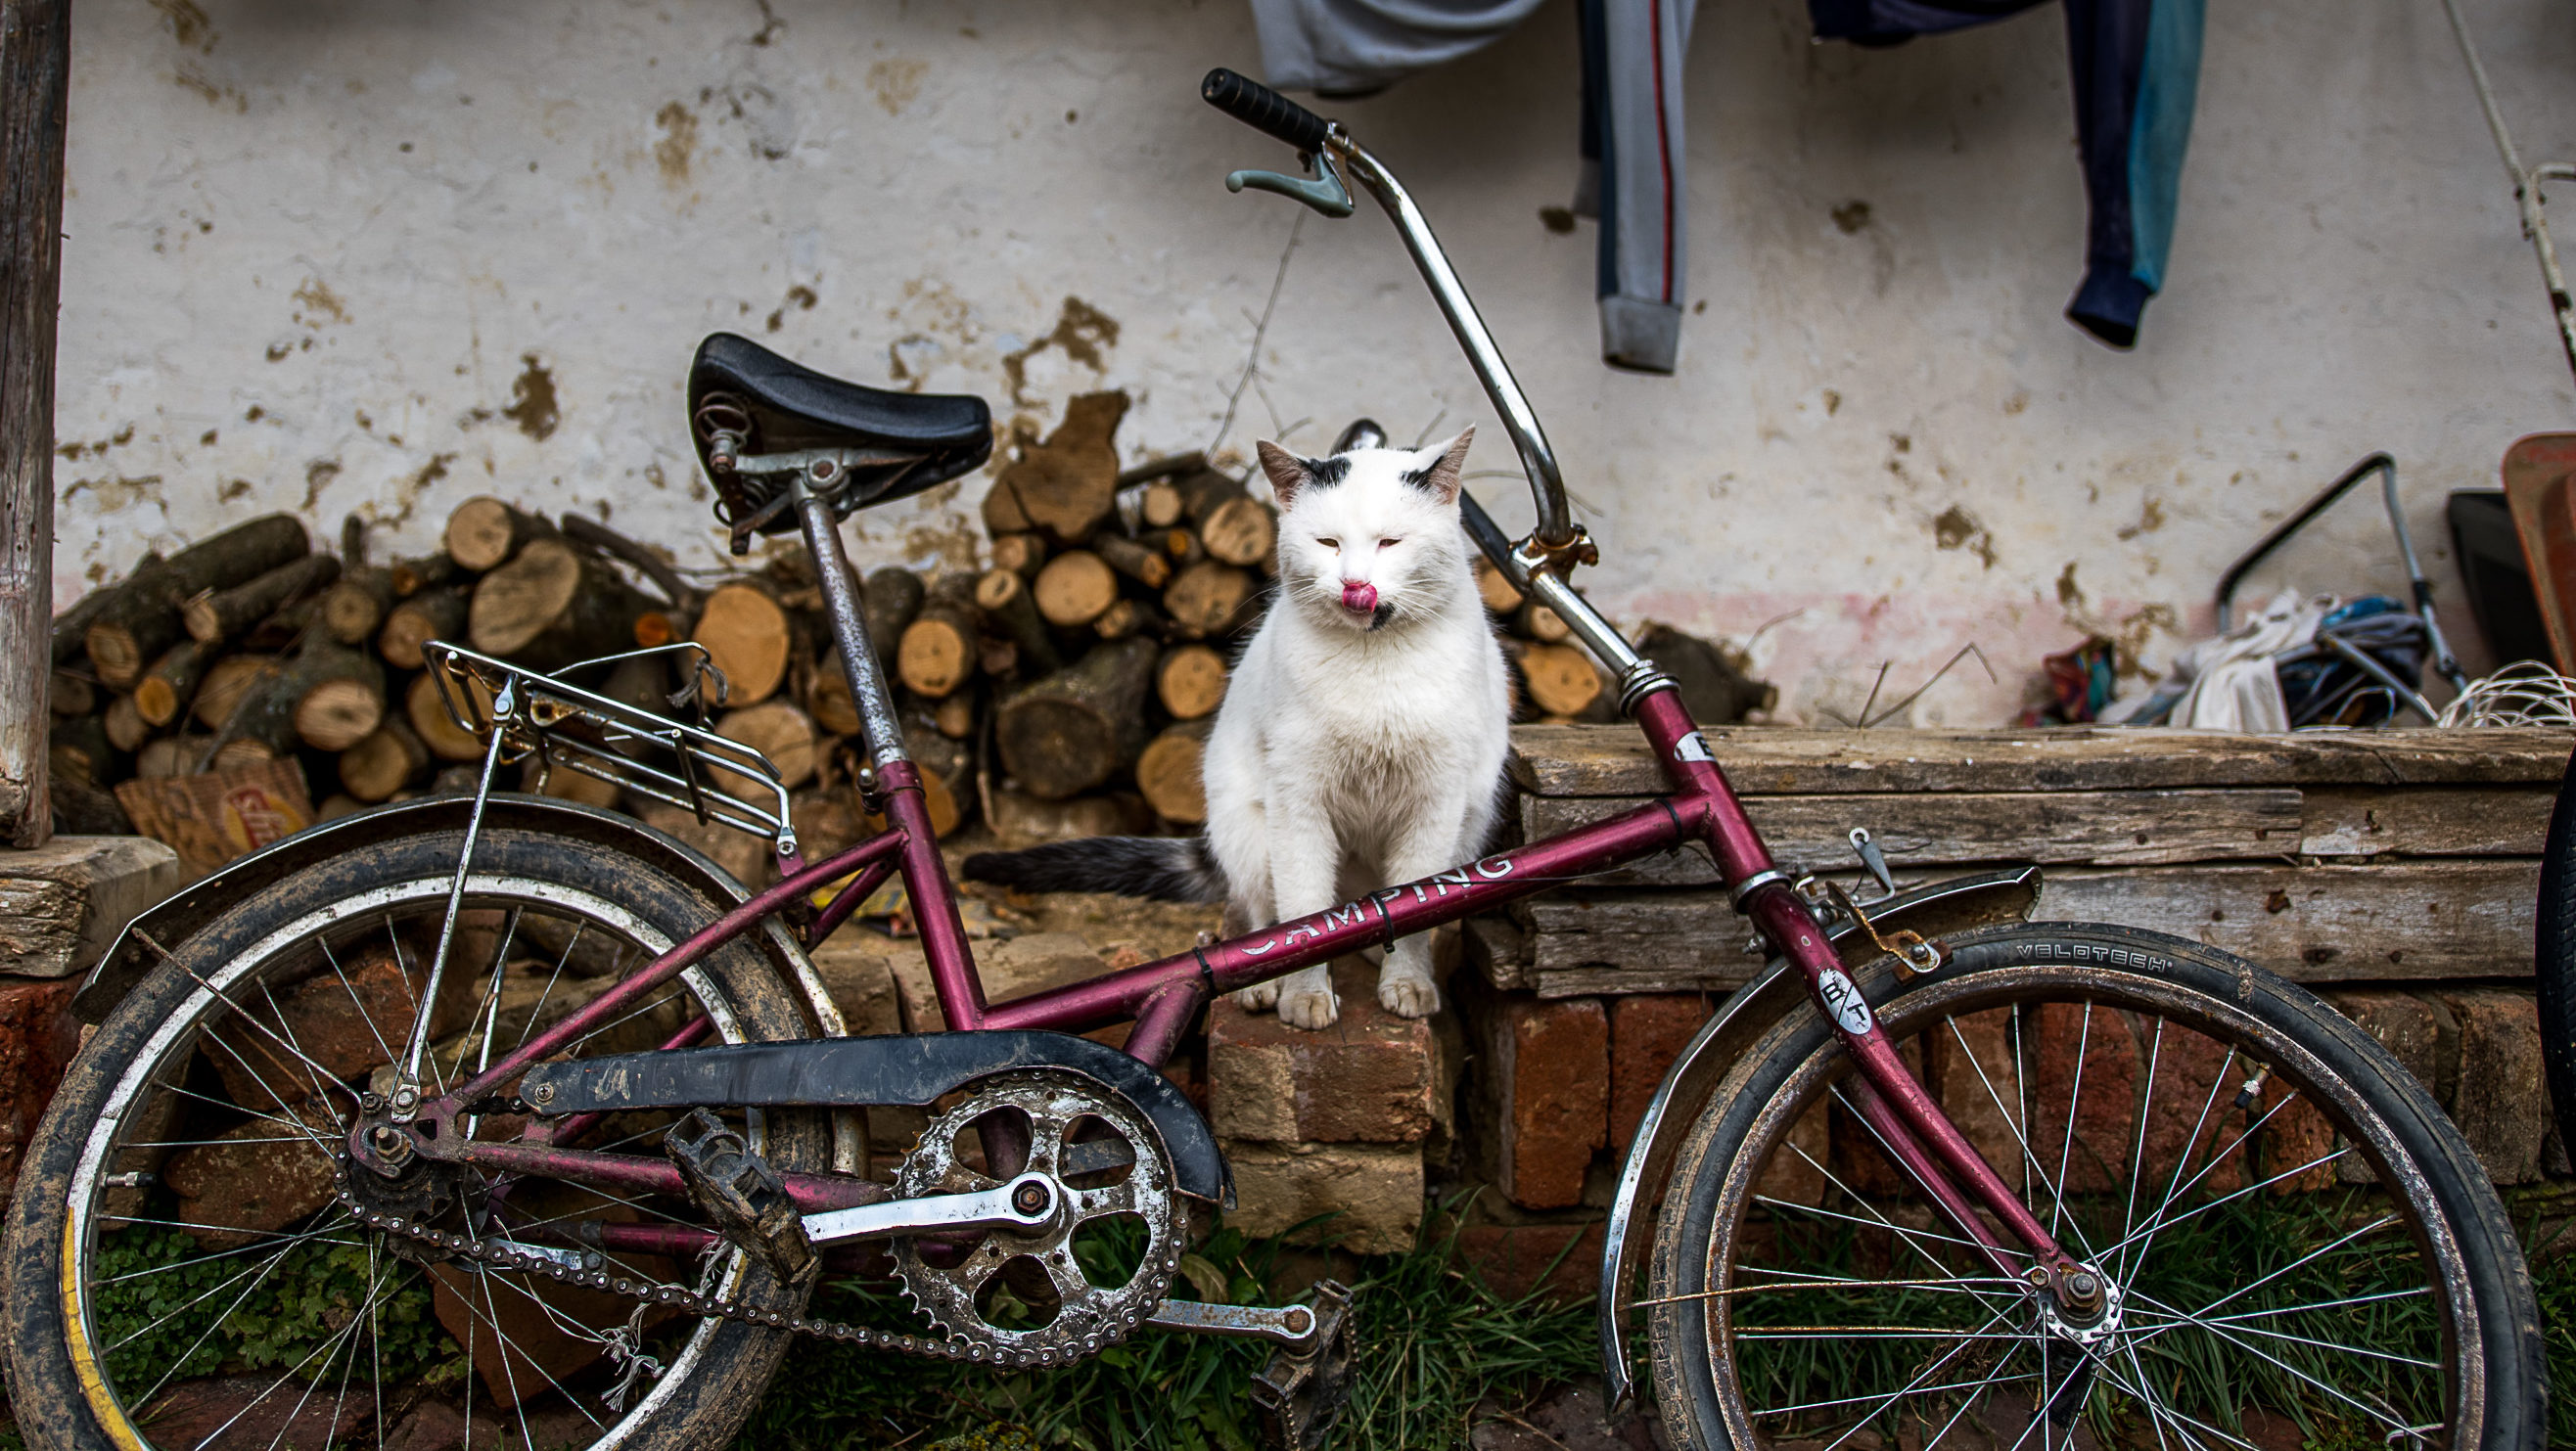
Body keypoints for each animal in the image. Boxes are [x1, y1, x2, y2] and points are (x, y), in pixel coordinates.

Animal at [963, 425, 1504, 1025]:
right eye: (1328, 544)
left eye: (1390, 542)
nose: (1354, 583)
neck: (1375, 662)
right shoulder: (1296, 798)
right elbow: (1305, 915)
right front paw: (1305, 995)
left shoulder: (1436, 803)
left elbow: (1417, 905)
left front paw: (1408, 981)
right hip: (1249, 831)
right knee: (1264, 913)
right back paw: (1262, 984)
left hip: (1470, 819)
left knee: (1370, 907)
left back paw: (1369, 946)